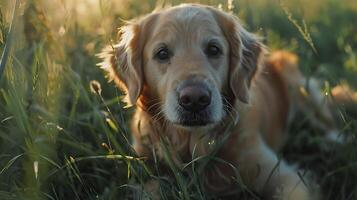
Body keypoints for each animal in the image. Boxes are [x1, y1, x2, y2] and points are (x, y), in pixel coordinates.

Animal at [96, 3, 346, 200]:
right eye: (162, 53)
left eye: (214, 49)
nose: (195, 99)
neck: (195, 145)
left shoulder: (283, 175)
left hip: (302, 89)